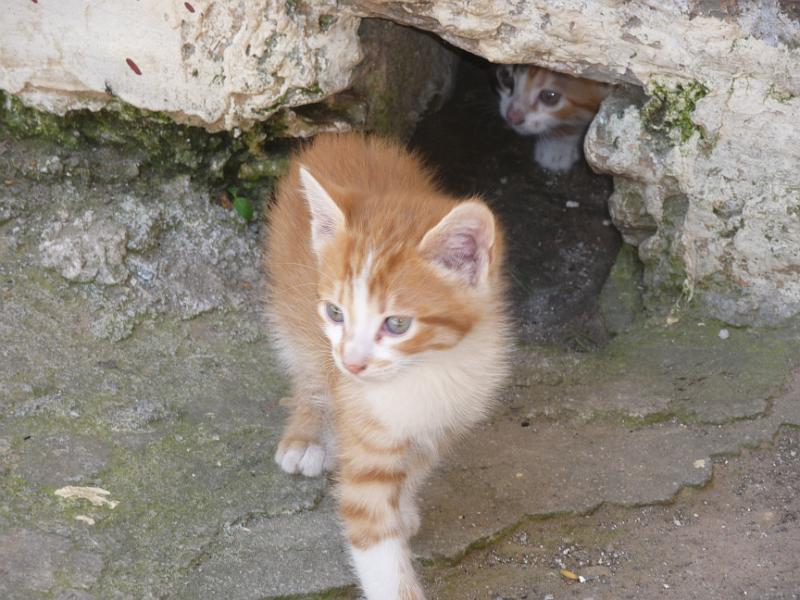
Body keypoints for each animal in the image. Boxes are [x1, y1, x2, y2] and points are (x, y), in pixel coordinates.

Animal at [266, 134, 510, 596]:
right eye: (336, 313)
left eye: (397, 324)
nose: (352, 363)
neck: (424, 370)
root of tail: (340, 137)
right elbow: (378, 548)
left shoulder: (446, 418)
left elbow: (415, 466)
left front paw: (403, 507)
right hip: (293, 313)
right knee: (309, 371)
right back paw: (307, 436)